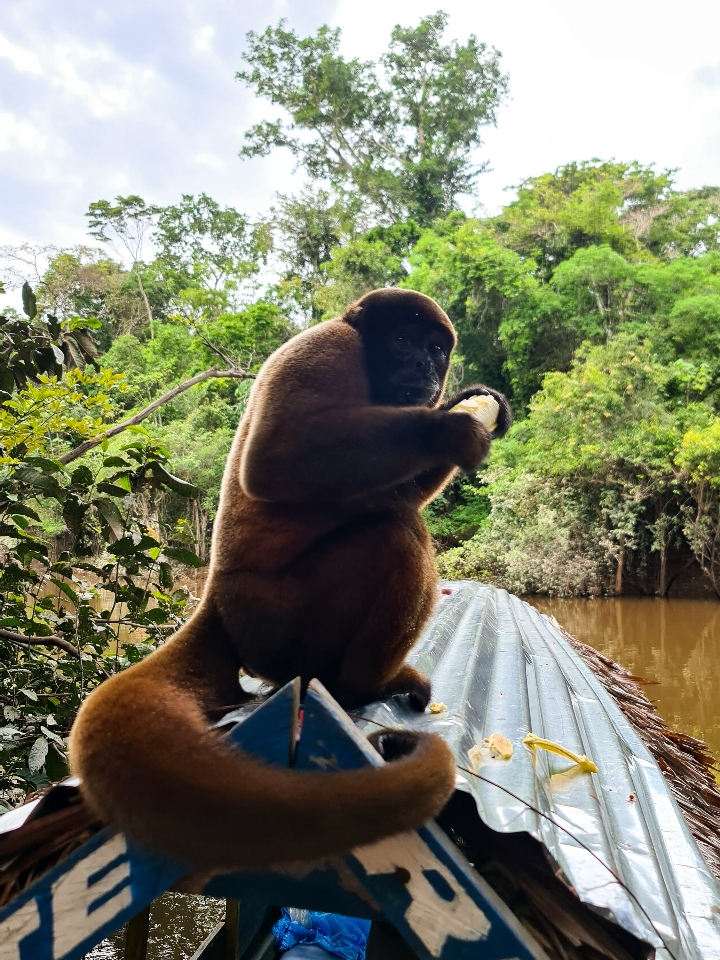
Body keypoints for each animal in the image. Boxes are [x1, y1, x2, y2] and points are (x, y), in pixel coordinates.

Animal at [69, 284, 512, 872]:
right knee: (394, 534)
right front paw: (450, 427)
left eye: (437, 349)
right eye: (403, 341)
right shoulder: (328, 347)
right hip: (280, 621)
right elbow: (276, 459)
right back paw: (367, 685)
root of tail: (216, 602)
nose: (425, 365)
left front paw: (478, 401)